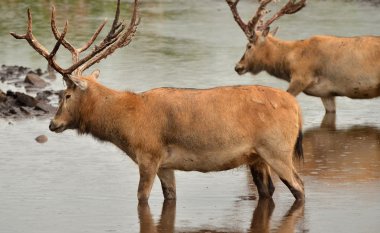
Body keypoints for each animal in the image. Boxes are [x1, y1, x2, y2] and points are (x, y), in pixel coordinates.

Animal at [10, 0, 304, 202]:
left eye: (67, 95)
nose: (53, 123)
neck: (125, 124)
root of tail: (296, 108)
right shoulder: (166, 165)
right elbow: (170, 198)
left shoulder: (149, 156)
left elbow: (141, 199)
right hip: (257, 157)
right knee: (270, 192)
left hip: (277, 149)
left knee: (300, 188)